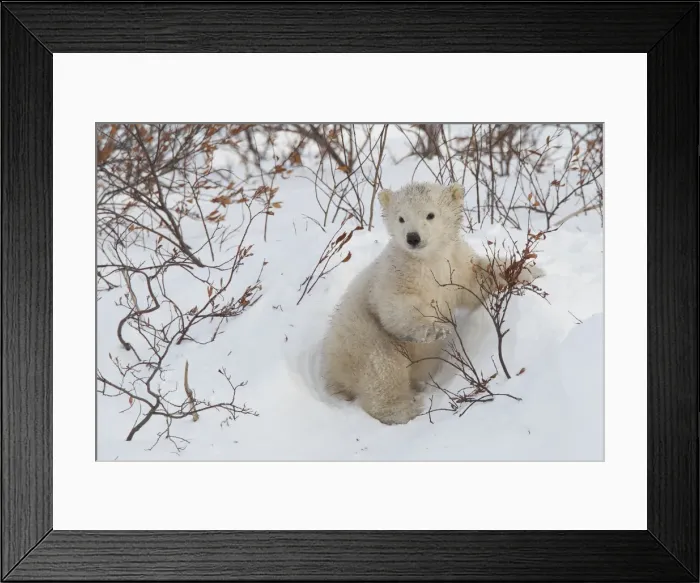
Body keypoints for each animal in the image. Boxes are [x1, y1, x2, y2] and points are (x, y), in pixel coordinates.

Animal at [320, 181, 511, 425]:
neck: (428, 261)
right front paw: (435, 329)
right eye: (401, 218)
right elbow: (396, 309)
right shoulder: (396, 275)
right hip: (362, 336)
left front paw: (527, 271)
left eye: (430, 214)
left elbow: (478, 281)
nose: (413, 237)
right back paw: (404, 408)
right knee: (383, 367)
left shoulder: (455, 265)